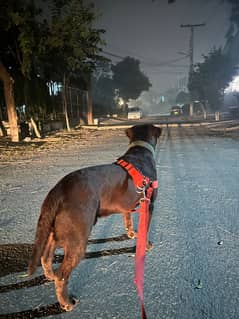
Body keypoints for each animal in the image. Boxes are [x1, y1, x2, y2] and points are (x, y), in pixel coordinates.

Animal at [28, 125, 162, 312]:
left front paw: (131, 234)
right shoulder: (149, 205)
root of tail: (59, 189)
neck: (139, 150)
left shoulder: (126, 206)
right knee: (62, 275)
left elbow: (127, 220)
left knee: (45, 257)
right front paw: (146, 245)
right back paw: (66, 302)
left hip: (55, 230)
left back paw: (49, 275)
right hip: (77, 240)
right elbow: (146, 229)